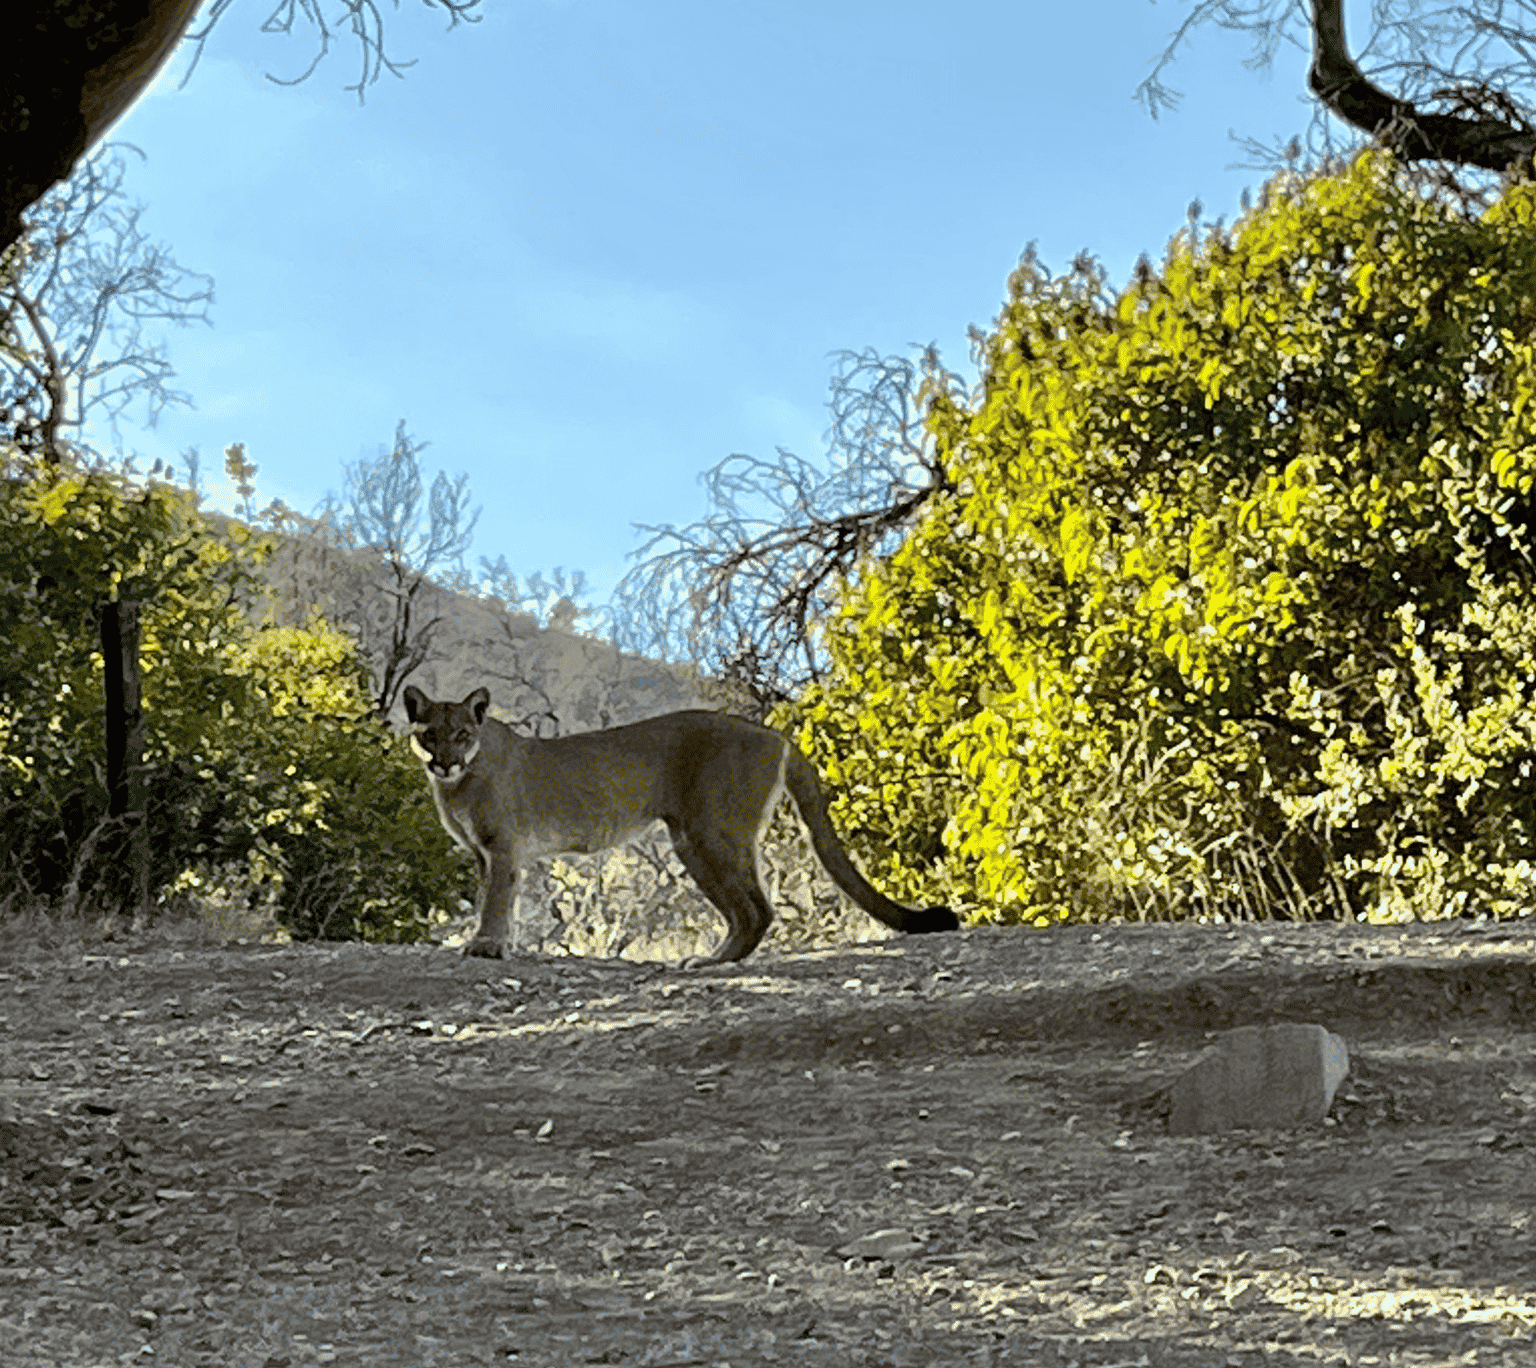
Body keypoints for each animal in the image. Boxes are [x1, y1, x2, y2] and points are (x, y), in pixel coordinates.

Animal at [403, 685, 959, 962]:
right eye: (430, 734)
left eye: (461, 733)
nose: (444, 761)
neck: (458, 783)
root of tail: (773, 733)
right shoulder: (484, 853)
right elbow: (494, 898)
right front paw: (494, 942)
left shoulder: (503, 847)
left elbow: (497, 900)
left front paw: (485, 946)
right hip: (692, 842)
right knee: (746, 911)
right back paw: (715, 958)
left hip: (713, 832)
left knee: (758, 908)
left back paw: (711, 962)